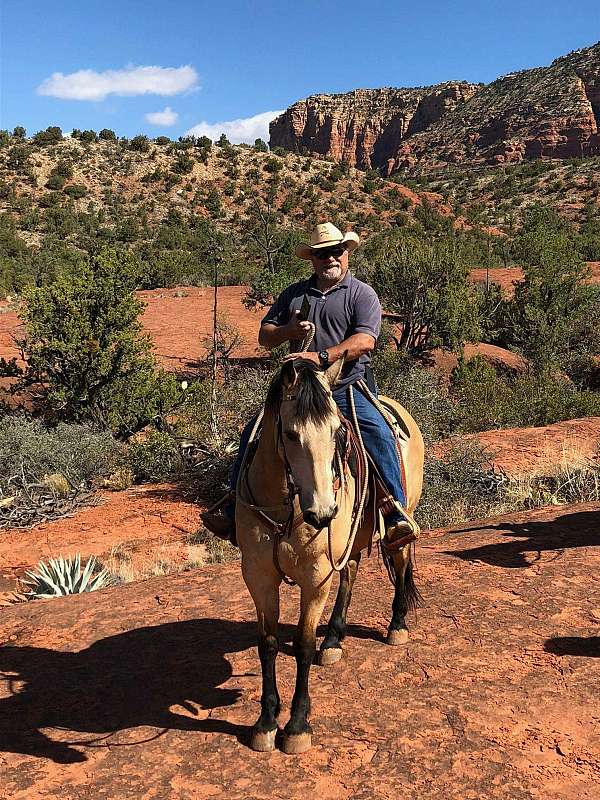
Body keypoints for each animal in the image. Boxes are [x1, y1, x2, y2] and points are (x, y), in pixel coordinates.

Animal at [237, 360, 424, 752]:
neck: (286, 509)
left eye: (338, 433)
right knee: (350, 571)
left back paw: (397, 625)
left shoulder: (315, 575)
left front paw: (297, 725)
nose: (324, 512)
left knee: (400, 560)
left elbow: (304, 645)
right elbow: (268, 644)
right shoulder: (258, 575)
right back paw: (335, 638)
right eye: (291, 434)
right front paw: (266, 722)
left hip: (402, 515)